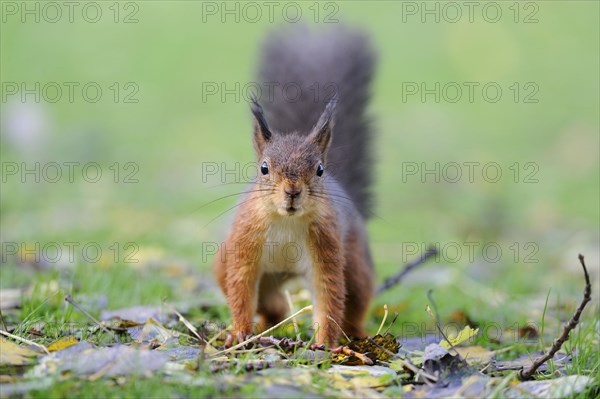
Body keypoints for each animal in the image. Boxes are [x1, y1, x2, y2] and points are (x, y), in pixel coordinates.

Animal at [214, 26, 376, 348]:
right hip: (228, 265)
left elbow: (329, 296)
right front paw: (239, 333)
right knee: (272, 305)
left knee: (355, 301)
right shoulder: (244, 242)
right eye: (264, 168)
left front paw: (324, 344)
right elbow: (240, 287)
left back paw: (356, 336)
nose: (292, 192)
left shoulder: (326, 246)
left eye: (319, 169)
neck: (286, 221)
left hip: (354, 262)